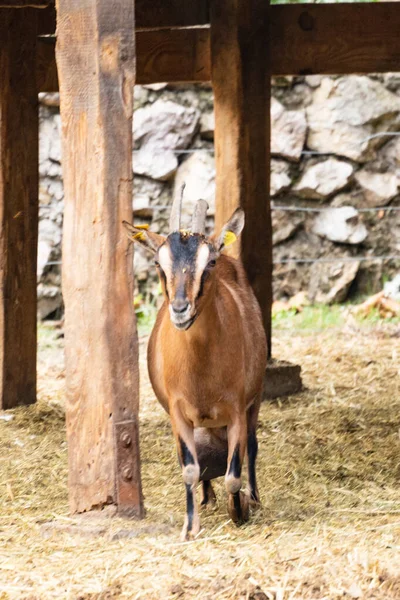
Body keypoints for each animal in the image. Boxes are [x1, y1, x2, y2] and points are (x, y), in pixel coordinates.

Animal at [122, 192, 266, 540]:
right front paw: (190, 527)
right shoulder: (177, 413)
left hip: (254, 401)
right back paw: (206, 497)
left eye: (208, 262)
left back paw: (253, 497)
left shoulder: (237, 409)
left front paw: (239, 510)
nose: (180, 309)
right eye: (159, 263)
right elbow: (189, 468)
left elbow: (234, 472)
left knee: (252, 446)